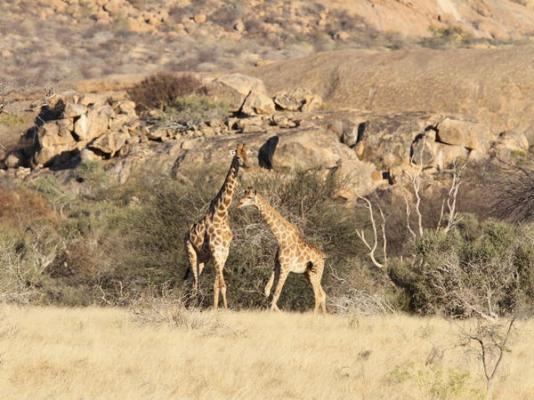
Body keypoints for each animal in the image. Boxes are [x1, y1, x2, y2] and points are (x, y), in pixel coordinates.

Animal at [184, 143, 251, 310]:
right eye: (238, 156)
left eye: (248, 154)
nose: (248, 165)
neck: (222, 213)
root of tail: (186, 235)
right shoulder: (215, 250)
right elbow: (219, 284)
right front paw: (216, 309)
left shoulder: (224, 251)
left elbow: (221, 285)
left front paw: (224, 309)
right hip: (191, 254)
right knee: (195, 283)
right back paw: (192, 307)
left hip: (203, 258)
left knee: (194, 283)